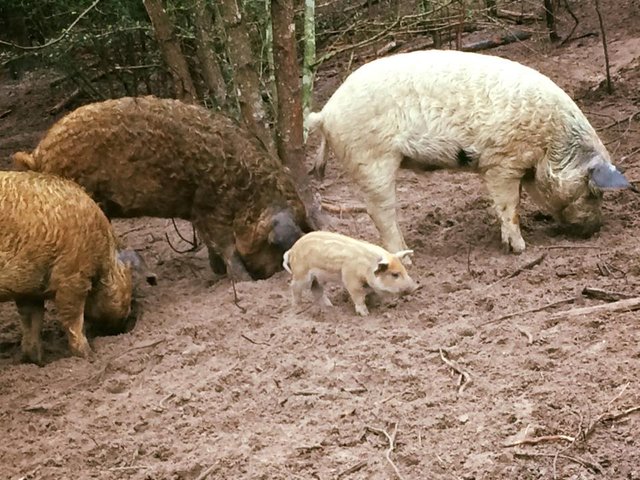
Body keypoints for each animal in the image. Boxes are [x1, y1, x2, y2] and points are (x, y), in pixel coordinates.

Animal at [1, 171, 149, 362]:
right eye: (129, 292)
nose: (123, 325)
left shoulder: (28, 288)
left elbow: (32, 320)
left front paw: (37, 361)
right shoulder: (72, 275)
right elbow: (73, 318)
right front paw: (89, 356)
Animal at [13, 95, 314, 280]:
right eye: (274, 249)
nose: (267, 274)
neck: (248, 195)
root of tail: (38, 154)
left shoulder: (200, 209)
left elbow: (213, 245)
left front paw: (216, 274)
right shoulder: (210, 205)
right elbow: (225, 246)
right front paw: (242, 280)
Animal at [308, 49, 632, 255]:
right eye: (594, 192)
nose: (595, 230)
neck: (550, 145)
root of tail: (326, 112)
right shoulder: (502, 163)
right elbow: (510, 205)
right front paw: (520, 249)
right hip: (372, 158)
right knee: (380, 212)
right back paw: (407, 258)